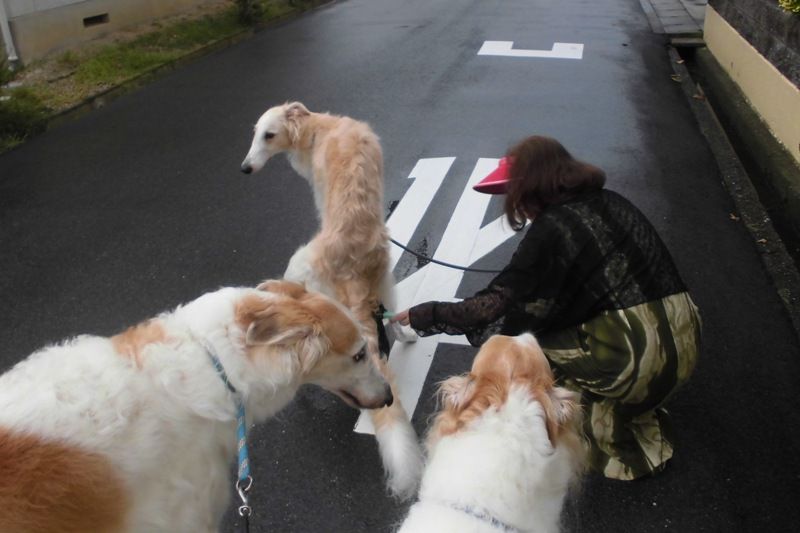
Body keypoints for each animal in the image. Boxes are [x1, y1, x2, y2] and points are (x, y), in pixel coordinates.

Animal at [241, 101, 423, 498]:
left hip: (299, 274)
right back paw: (407, 334)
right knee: (390, 316)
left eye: (268, 135)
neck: (318, 128)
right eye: (254, 132)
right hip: (382, 277)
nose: (244, 168)